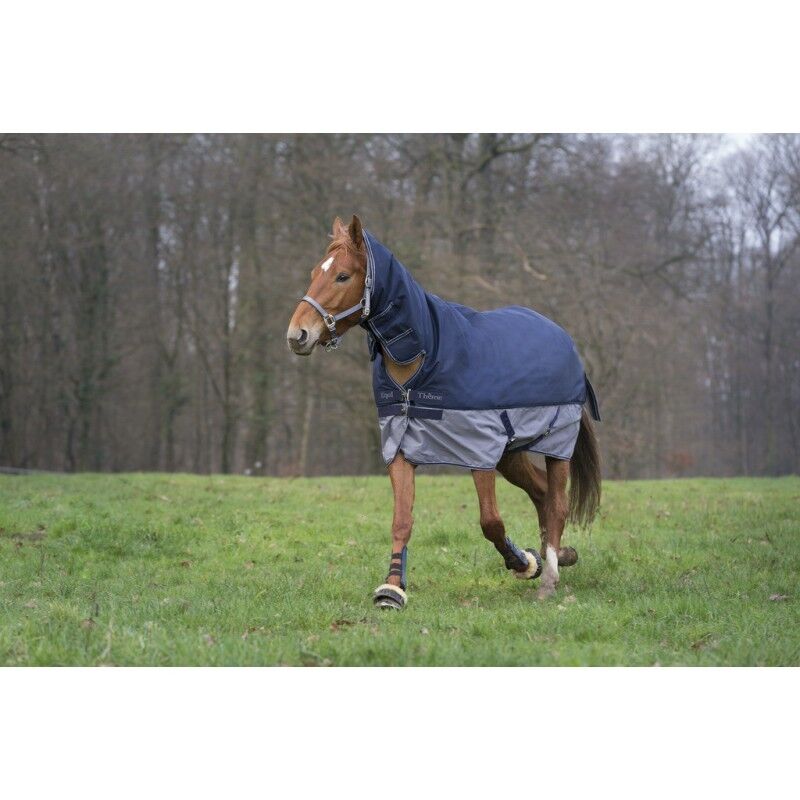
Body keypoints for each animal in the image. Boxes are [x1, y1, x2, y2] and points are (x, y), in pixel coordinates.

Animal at [286, 215, 601, 608]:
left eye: (343, 276)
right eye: (316, 271)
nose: (297, 335)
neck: (426, 357)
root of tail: (564, 339)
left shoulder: (479, 451)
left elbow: (490, 521)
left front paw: (523, 563)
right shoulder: (400, 447)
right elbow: (401, 520)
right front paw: (391, 589)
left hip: (557, 445)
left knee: (557, 502)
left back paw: (549, 576)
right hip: (510, 455)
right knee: (542, 494)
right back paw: (559, 554)